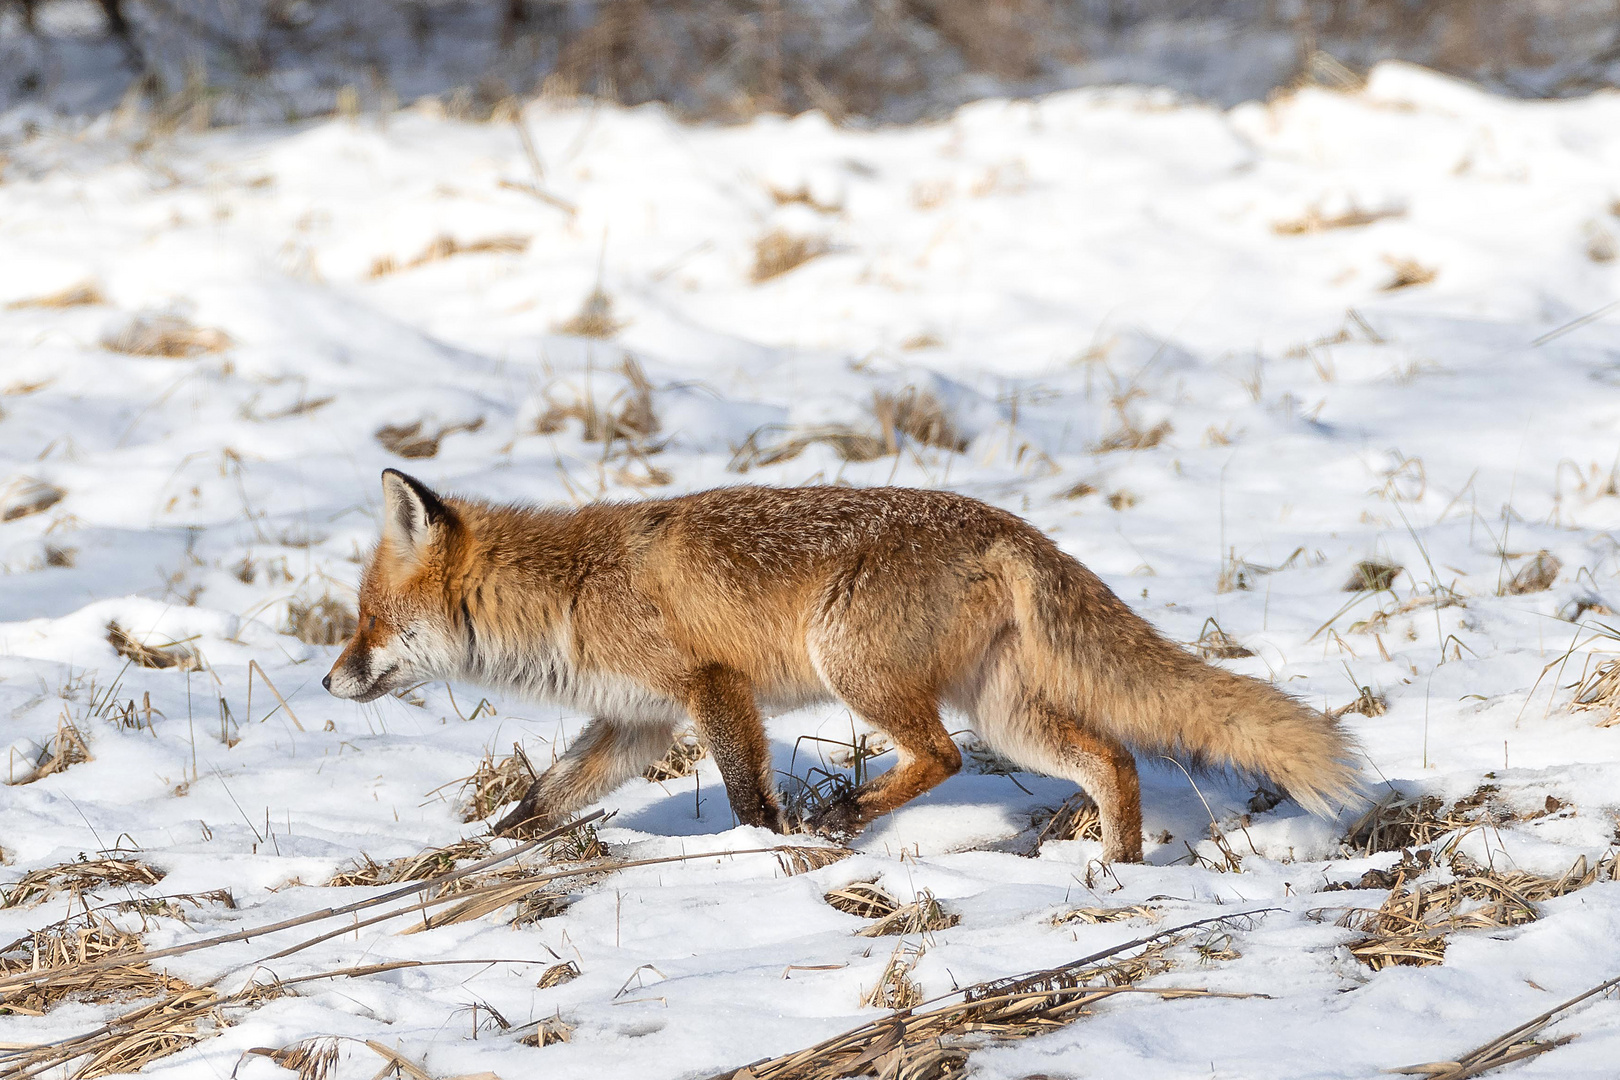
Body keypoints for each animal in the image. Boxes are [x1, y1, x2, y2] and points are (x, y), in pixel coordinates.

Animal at [322, 472, 1360, 861]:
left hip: (858, 668)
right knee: (1112, 760)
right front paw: (471, 859)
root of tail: (1010, 523)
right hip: (1007, 715)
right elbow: (541, 801)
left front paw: (769, 851)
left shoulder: (713, 686)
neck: (573, 592)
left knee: (941, 758)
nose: (327, 681)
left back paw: (850, 813)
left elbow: (748, 796)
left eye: (368, 622)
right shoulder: (637, 723)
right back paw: (1120, 873)